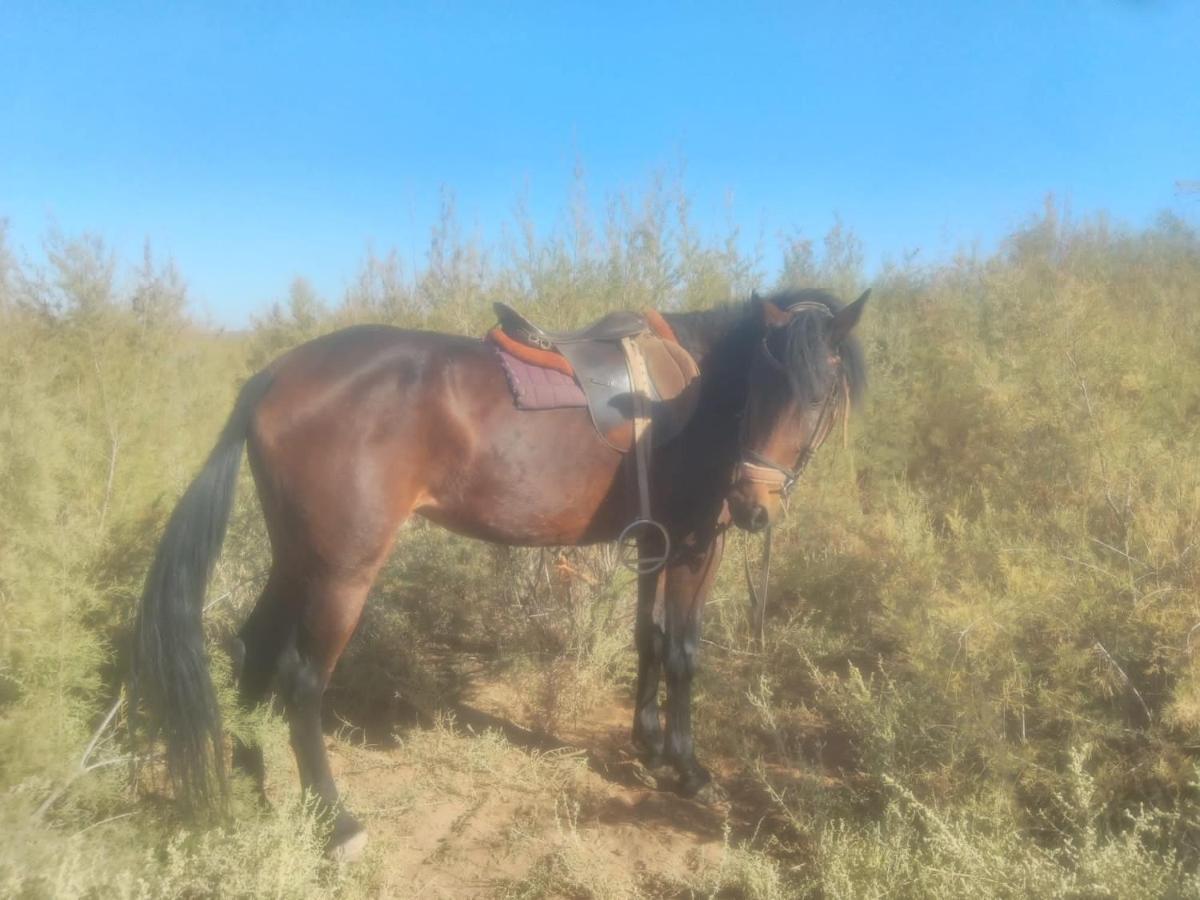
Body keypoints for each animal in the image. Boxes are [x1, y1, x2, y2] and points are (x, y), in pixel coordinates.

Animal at [133, 289, 864, 859]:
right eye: (762, 389)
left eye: (818, 395)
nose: (753, 505)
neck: (694, 392)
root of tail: (277, 374)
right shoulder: (693, 546)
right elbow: (684, 653)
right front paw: (688, 769)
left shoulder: (653, 544)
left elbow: (648, 642)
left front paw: (648, 743)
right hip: (340, 570)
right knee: (302, 681)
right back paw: (336, 821)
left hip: (295, 555)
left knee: (251, 650)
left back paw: (253, 785)